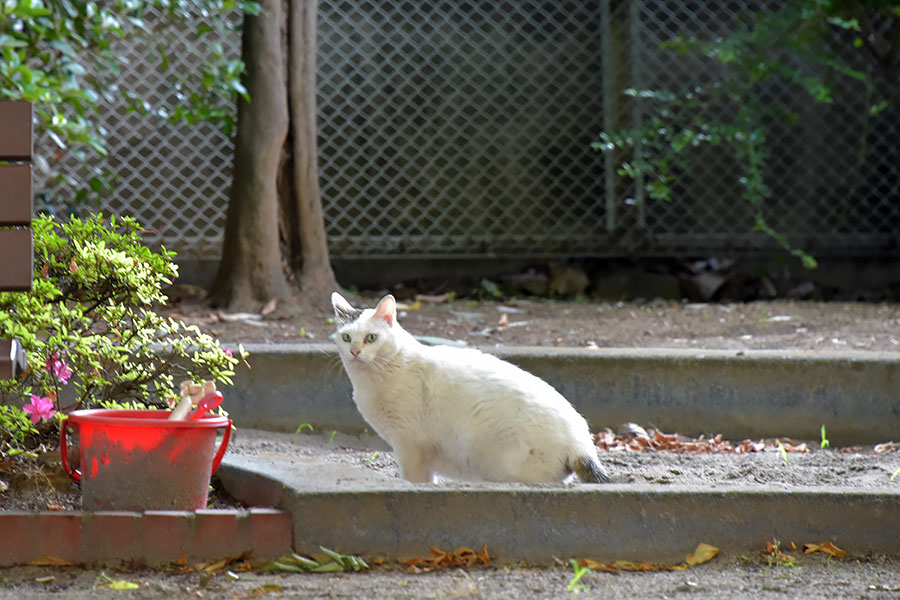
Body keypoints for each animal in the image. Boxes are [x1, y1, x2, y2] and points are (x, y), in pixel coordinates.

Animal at [330, 292, 612, 486]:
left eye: (371, 338)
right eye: (346, 337)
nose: (355, 351)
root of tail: (582, 445)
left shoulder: (409, 445)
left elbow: (415, 480)